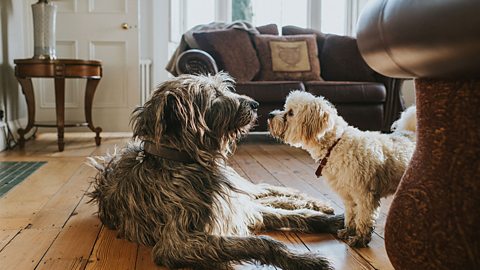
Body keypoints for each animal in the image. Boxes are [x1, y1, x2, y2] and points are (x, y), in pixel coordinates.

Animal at [88, 73, 344, 268]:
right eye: (214, 96)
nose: (255, 104)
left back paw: (315, 202)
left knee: (265, 191)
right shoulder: (178, 243)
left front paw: (331, 220)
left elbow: (296, 215)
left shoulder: (236, 207)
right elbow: (263, 241)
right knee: (265, 196)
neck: (183, 161)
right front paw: (302, 260)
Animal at [268, 90, 414, 247]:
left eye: (290, 113)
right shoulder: (347, 194)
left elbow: (363, 219)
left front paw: (360, 239)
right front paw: (348, 231)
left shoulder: (364, 195)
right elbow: (350, 215)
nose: (270, 115)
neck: (335, 145)